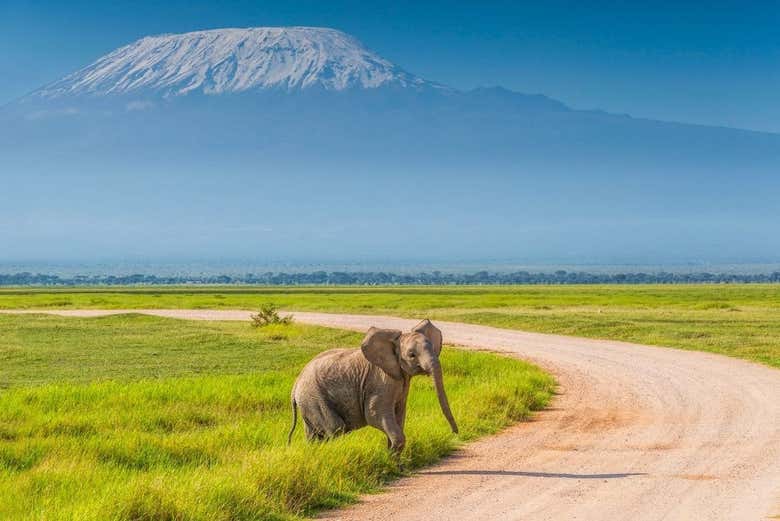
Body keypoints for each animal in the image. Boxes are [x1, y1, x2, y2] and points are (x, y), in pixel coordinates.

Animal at [287, 319, 458, 453]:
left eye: (433, 349)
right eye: (412, 355)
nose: (454, 433)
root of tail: (295, 385)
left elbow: (399, 414)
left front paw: (392, 458)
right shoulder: (380, 381)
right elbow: (375, 414)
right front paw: (390, 456)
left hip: (308, 402)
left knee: (314, 434)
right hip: (314, 398)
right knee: (336, 428)